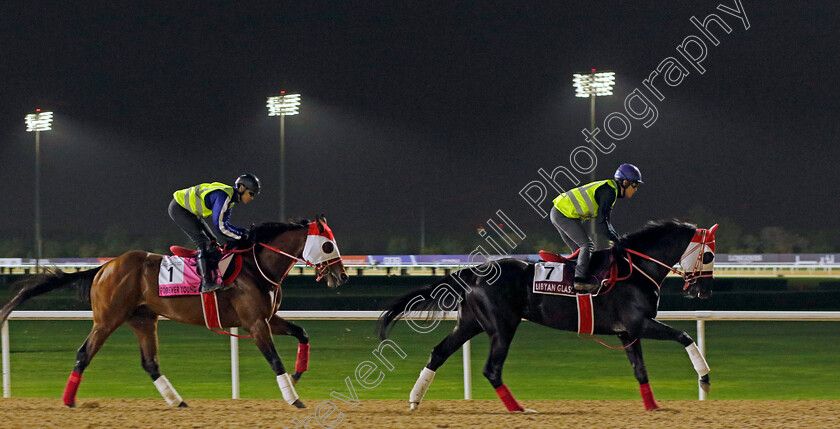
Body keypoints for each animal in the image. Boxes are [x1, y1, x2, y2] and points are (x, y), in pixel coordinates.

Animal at [0, 214, 348, 408]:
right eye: (328, 245)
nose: (342, 276)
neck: (256, 265)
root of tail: (104, 267)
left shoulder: (267, 318)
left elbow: (302, 332)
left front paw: (298, 374)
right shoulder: (255, 323)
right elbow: (274, 359)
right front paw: (294, 398)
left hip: (143, 320)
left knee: (150, 363)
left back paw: (177, 401)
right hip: (107, 319)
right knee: (84, 353)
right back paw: (69, 401)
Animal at [378, 221, 716, 412]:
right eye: (709, 254)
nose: (703, 290)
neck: (635, 270)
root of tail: (472, 273)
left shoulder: (627, 332)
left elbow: (640, 370)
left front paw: (653, 407)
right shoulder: (639, 324)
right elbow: (684, 336)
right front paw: (705, 378)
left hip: (471, 323)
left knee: (439, 352)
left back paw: (415, 399)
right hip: (502, 326)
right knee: (491, 369)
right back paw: (519, 410)